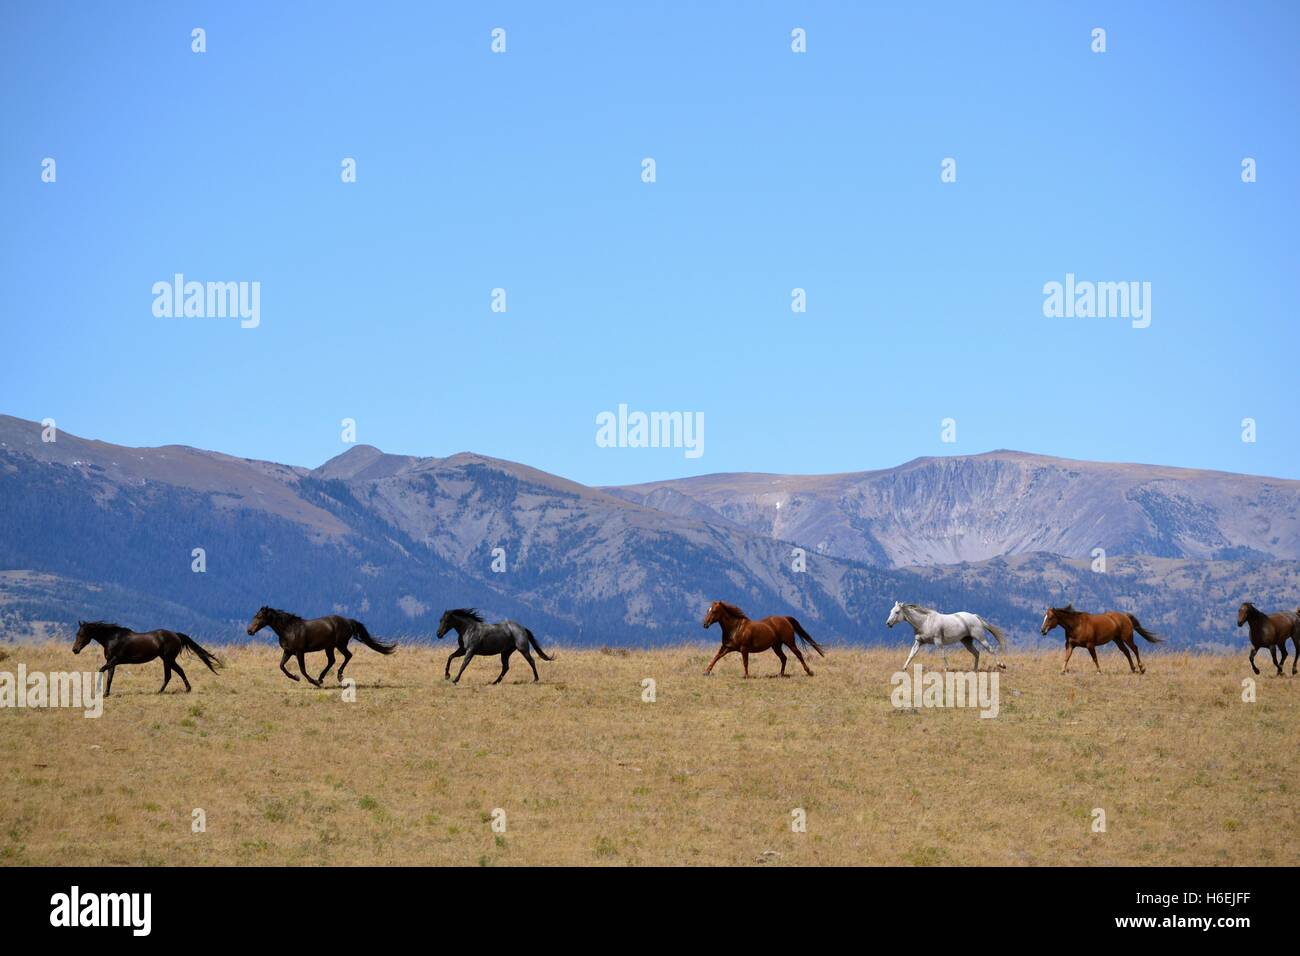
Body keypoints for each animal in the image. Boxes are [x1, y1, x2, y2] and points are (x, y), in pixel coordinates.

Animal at [72, 620, 222, 695]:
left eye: (82, 634)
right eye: (77, 634)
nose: (75, 650)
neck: (112, 638)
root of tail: (176, 635)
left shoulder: (116, 660)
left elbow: (101, 670)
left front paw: (98, 691)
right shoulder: (111, 662)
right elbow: (109, 677)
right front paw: (106, 694)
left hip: (167, 659)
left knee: (170, 675)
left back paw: (160, 691)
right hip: (168, 659)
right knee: (179, 671)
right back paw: (186, 689)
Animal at [246, 606, 396, 686]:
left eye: (259, 617)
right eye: (255, 616)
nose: (249, 631)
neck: (289, 629)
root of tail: (348, 621)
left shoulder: (300, 652)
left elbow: (303, 669)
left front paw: (313, 682)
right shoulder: (288, 652)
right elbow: (282, 666)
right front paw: (296, 678)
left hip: (340, 645)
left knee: (348, 656)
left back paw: (336, 677)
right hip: (329, 647)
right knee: (332, 660)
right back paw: (322, 677)